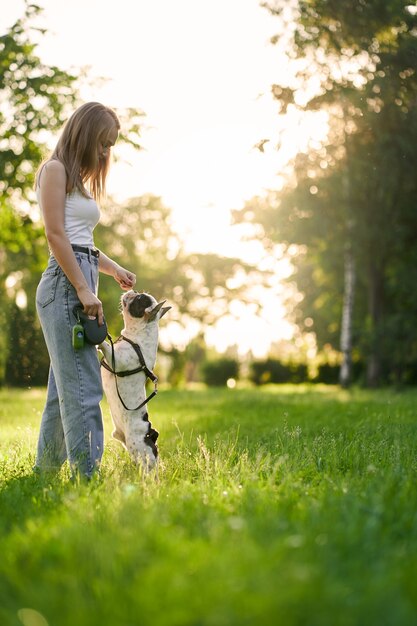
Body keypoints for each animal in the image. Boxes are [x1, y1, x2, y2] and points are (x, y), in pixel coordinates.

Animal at [98, 292, 169, 468]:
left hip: (138, 448)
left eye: (139, 299)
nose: (131, 291)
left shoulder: (117, 360)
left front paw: (101, 340)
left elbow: (107, 346)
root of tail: (150, 435)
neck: (135, 336)